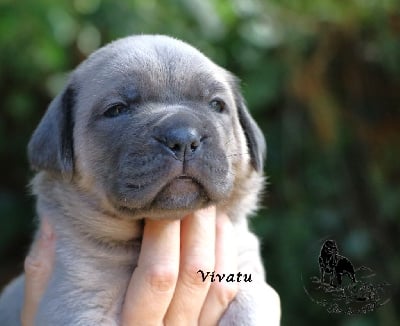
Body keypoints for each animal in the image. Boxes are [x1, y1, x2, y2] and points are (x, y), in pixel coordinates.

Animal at [0, 34, 280, 324]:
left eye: (216, 105)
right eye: (116, 110)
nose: (183, 138)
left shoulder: (246, 271)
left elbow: (249, 308)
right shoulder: (78, 301)